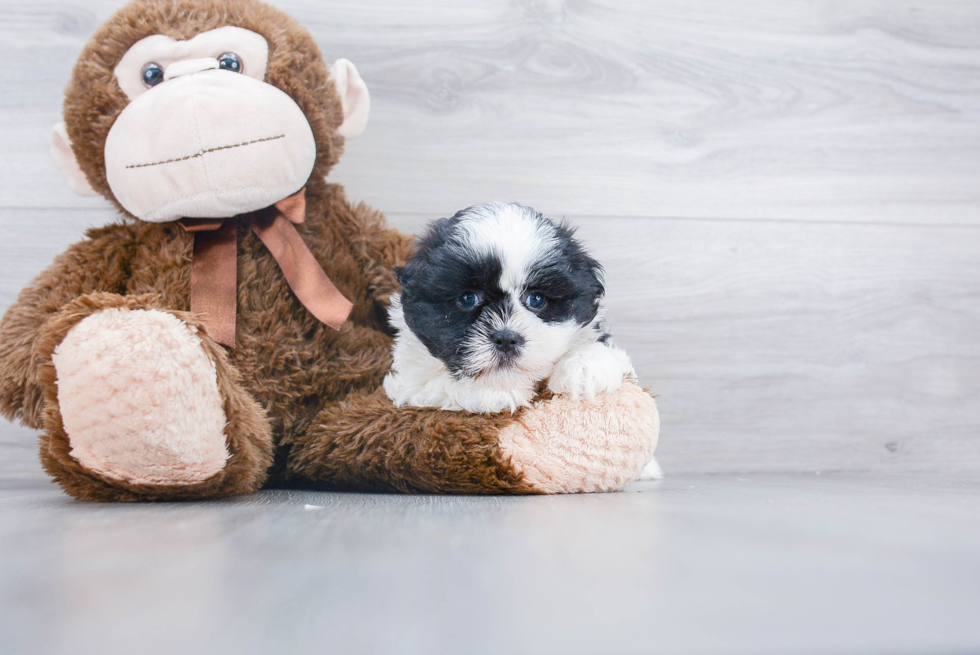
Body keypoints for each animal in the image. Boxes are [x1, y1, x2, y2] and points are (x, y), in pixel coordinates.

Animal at [378, 201, 640, 416]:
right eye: (468, 298)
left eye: (536, 299)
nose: (506, 338)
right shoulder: (410, 381)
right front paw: (490, 393)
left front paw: (585, 367)